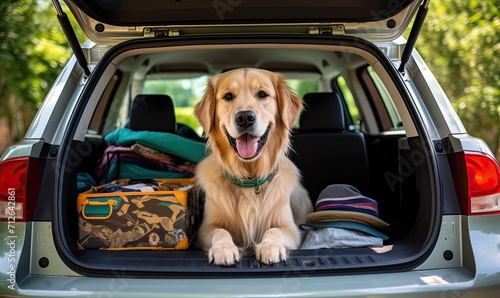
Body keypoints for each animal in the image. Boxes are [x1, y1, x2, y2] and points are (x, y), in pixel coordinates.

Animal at [194, 68, 312, 266]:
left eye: (262, 94)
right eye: (228, 96)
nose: (244, 118)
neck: (249, 179)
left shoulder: (291, 230)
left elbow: (274, 230)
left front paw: (269, 246)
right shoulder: (205, 230)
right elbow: (220, 231)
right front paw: (224, 248)